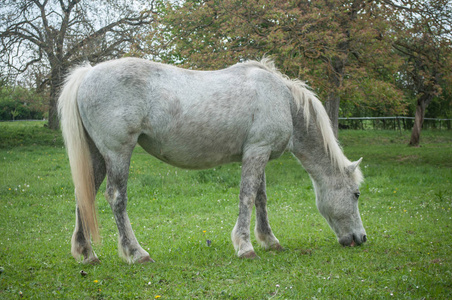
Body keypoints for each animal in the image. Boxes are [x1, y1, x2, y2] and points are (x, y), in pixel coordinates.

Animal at [57, 57, 368, 264]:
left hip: (97, 156)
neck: (283, 100)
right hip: (118, 152)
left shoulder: (258, 153)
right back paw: (136, 253)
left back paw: (87, 254)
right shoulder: (257, 151)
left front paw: (269, 240)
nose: (361, 238)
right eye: (356, 194)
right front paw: (245, 246)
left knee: (84, 194)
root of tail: (88, 73)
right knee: (116, 198)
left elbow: (260, 198)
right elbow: (247, 197)